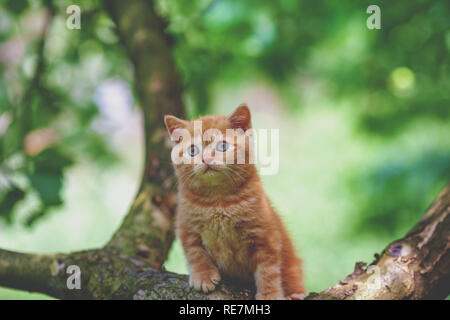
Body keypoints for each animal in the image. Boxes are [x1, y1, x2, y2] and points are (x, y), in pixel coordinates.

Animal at [164, 105, 306, 300]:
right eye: (192, 150)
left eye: (223, 146)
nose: (206, 159)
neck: (218, 202)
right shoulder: (186, 227)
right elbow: (195, 252)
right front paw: (203, 275)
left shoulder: (265, 236)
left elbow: (268, 270)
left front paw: (269, 295)